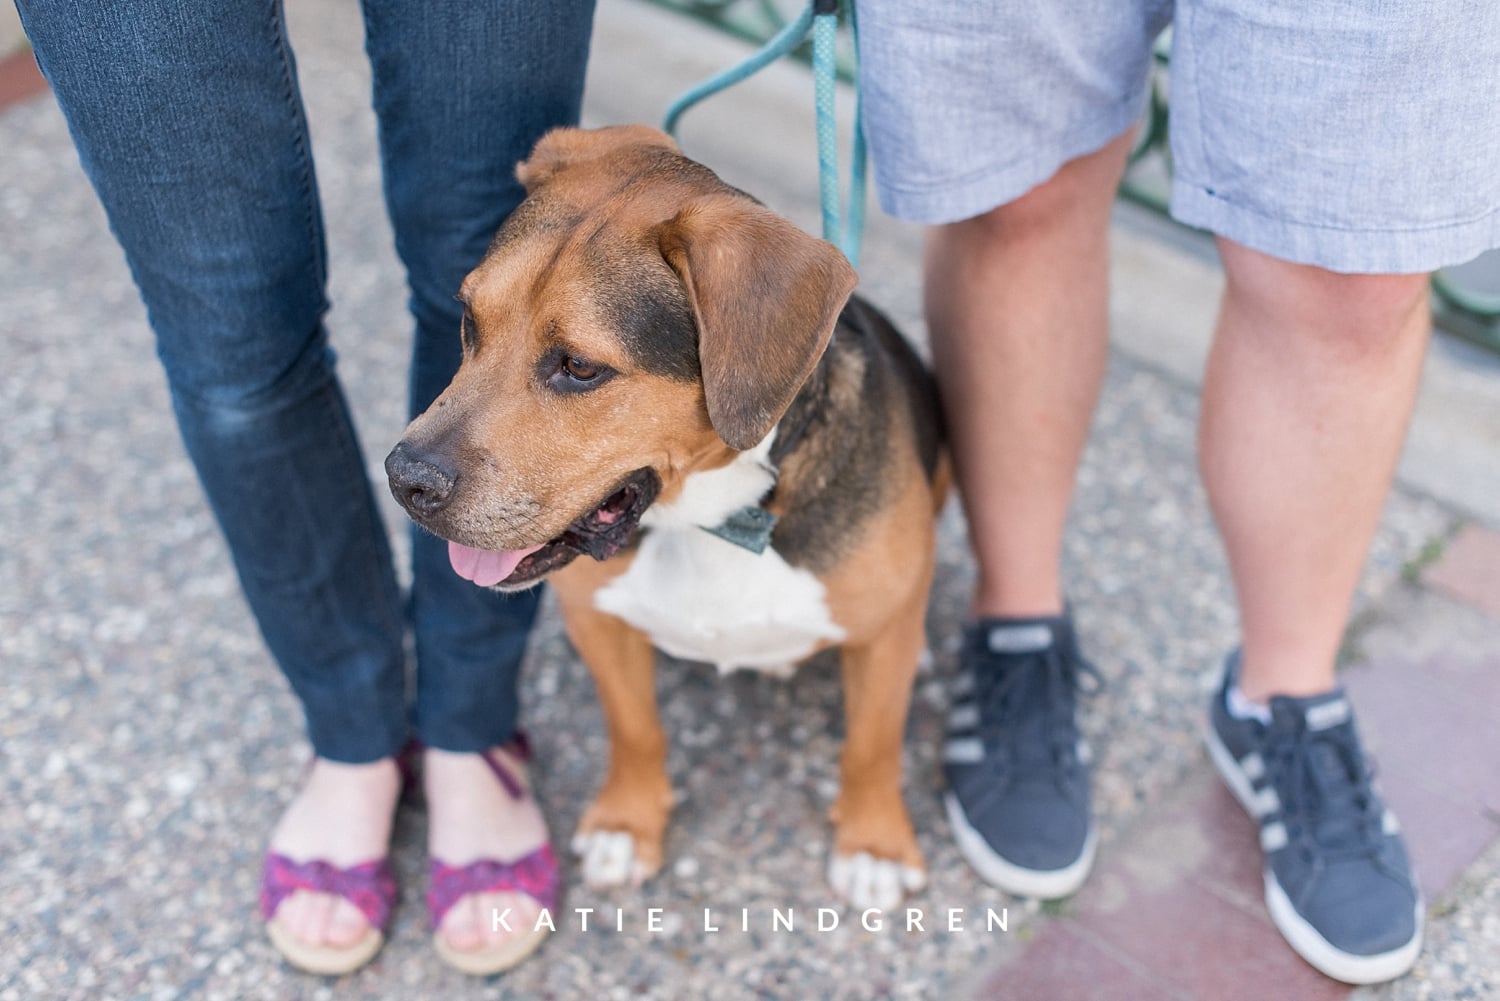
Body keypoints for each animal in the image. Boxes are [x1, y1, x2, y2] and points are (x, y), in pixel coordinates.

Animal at [390, 123, 948, 906]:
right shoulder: (598, 620)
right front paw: (628, 823)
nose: (403, 480)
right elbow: (635, 729)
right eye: (469, 320)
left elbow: (873, 743)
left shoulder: (879, 649)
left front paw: (873, 844)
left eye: (580, 367)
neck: (709, 516)